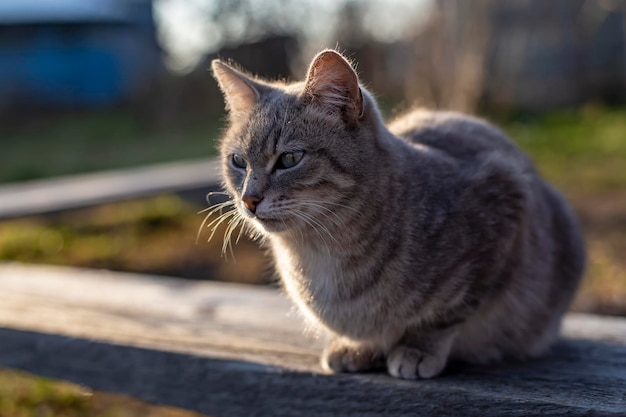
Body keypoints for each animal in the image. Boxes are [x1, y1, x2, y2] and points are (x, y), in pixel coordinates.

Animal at [211, 49, 584, 380]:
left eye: (289, 159)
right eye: (238, 161)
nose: (249, 200)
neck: (318, 253)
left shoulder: (504, 208)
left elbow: (444, 316)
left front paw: (417, 349)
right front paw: (355, 347)